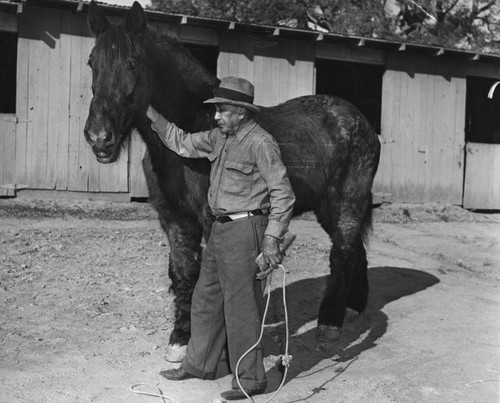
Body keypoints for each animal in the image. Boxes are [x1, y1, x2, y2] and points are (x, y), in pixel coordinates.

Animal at [85, 1, 378, 362]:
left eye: (133, 62)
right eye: (92, 63)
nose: (99, 137)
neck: (188, 129)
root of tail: (359, 120)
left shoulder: (212, 219)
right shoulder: (175, 218)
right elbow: (184, 272)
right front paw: (181, 339)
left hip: (347, 201)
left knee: (342, 251)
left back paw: (330, 322)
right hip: (329, 208)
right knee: (352, 249)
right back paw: (354, 306)